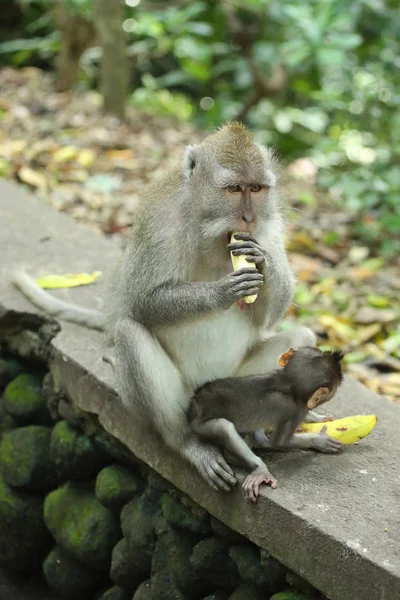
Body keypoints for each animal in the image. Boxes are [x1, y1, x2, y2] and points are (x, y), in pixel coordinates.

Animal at [188, 346, 344, 502]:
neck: (288, 382)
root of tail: (194, 404)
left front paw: (316, 417)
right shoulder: (297, 409)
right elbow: (281, 441)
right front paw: (319, 439)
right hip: (199, 425)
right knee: (224, 427)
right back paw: (259, 467)